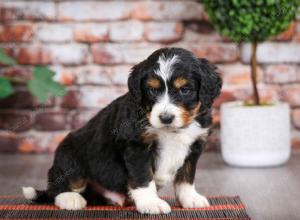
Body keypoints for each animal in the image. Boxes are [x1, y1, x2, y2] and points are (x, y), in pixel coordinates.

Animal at [22, 47, 221, 214]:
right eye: (152, 90)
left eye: (185, 89)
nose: (166, 118)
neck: (170, 131)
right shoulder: (136, 146)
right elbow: (143, 177)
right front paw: (151, 203)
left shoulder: (194, 145)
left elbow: (186, 176)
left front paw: (191, 198)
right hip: (70, 156)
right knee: (58, 185)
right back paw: (70, 199)